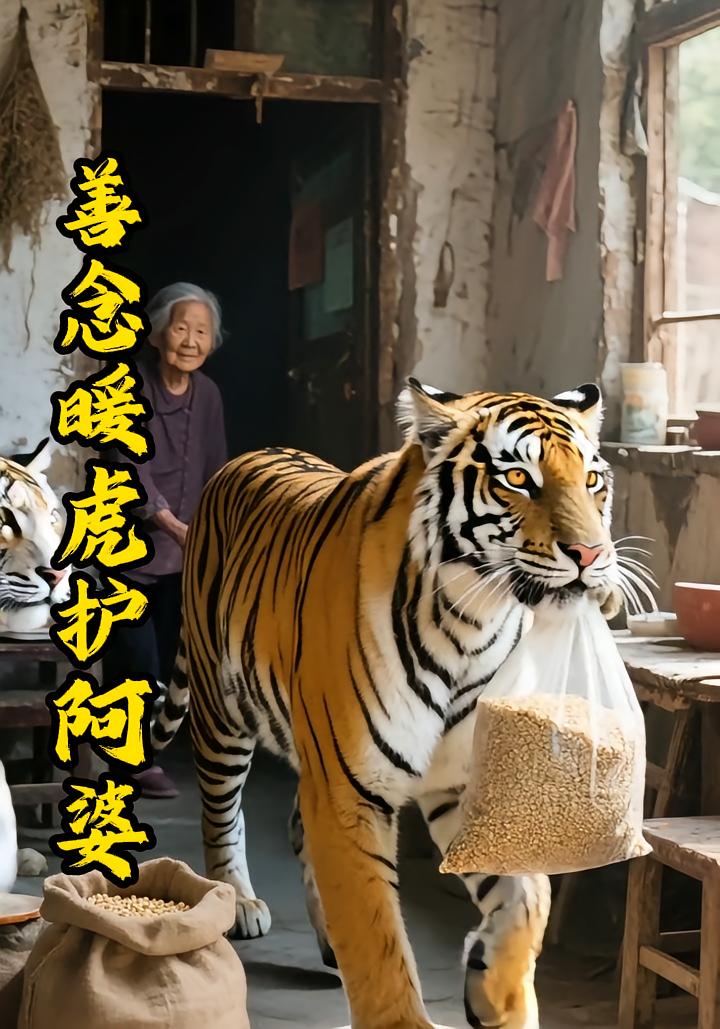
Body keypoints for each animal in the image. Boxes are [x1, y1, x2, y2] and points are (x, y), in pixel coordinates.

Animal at [150, 379, 624, 1029]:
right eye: (518, 478)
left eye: (593, 479)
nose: (592, 555)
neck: (472, 623)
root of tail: (248, 455)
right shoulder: (349, 792)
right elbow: (378, 940)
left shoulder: (463, 783)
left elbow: (530, 897)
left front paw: (498, 996)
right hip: (223, 715)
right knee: (221, 817)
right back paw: (241, 903)